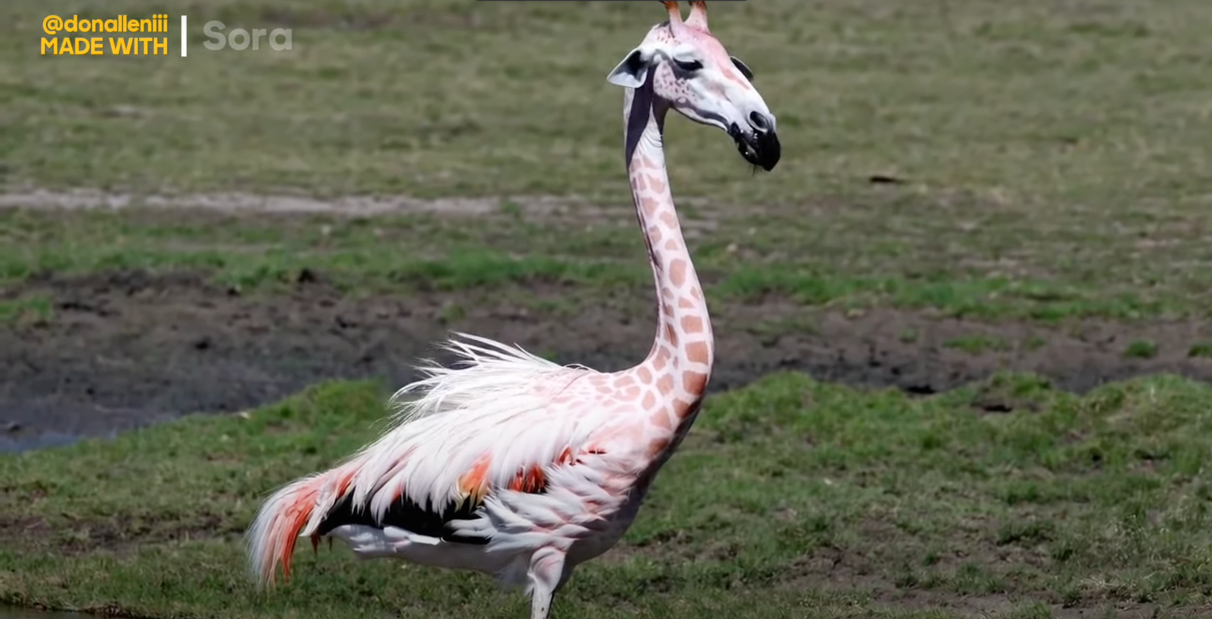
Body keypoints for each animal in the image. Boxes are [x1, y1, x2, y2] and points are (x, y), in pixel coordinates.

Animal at [243, 2, 780, 618]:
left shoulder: (576, 553)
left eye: (737, 60)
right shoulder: (548, 555)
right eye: (689, 63)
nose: (762, 132)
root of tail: (335, 485)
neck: (652, 395)